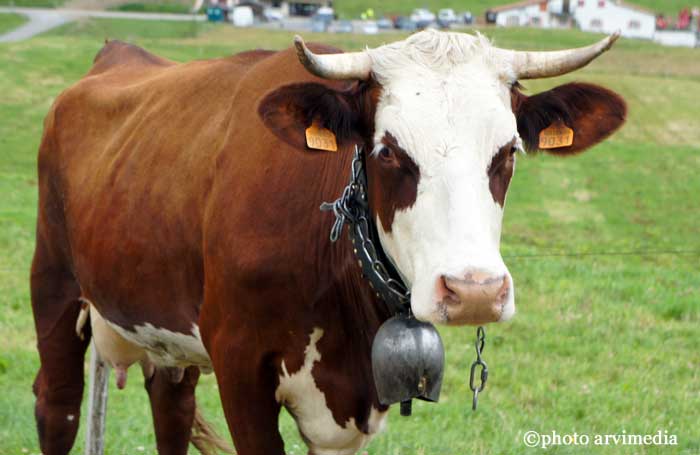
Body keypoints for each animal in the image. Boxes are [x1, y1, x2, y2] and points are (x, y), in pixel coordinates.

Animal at [30, 29, 626, 455]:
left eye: (508, 152)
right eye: (388, 152)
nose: (474, 292)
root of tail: (117, 53)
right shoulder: (239, 363)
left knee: (170, 409)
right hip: (54, 283)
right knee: (56, 404)